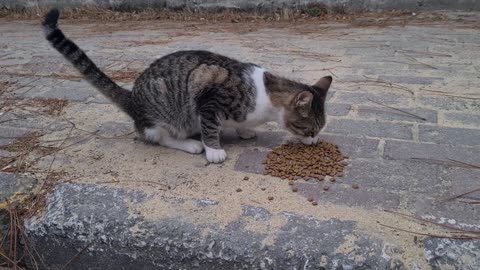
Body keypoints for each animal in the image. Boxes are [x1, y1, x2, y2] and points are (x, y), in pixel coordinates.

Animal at [43, 8, 332, 163]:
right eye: (310, 129)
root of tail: (133, 98)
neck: (264, 94)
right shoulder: (210, 98)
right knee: (159, 136)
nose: (315, 142)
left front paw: (244, 130)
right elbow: (211, 126)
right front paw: (214, 150)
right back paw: (191, 144)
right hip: (164, 113)